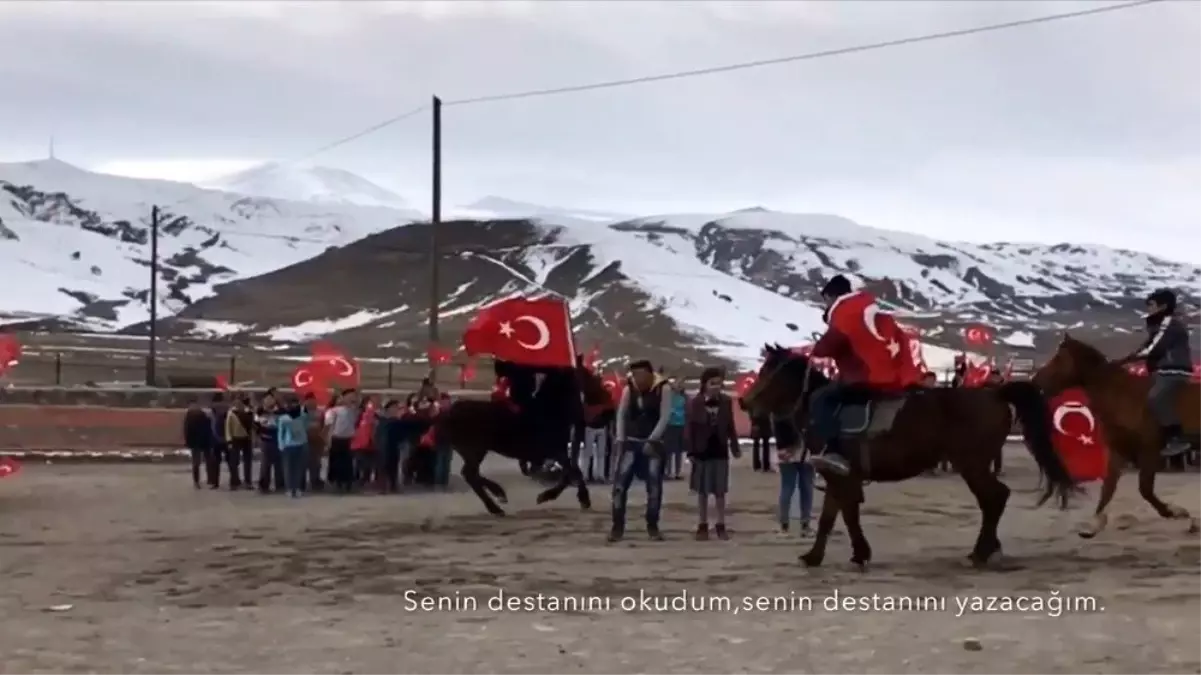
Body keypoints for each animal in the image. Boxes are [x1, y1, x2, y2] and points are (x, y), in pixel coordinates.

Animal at [427, 362, 610, 514]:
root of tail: (449, 412)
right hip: (475, 450)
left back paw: (498, 494)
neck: (549, 411)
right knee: (470, 474)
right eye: (588, 375)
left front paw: (555, 496)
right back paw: (496, 507)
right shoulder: (555, 451)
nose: (606, 396)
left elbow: (571, 472)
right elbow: (573, 472)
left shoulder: (558, 452)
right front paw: (578, 499)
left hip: (472, 451)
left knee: (472, 474)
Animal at [735, 345, 1076, 566]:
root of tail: (994, 393)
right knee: (994, 499)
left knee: (994, 498)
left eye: (771, 371)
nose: (743, 402)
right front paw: (821, 555)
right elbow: (833, 516)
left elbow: (843, 515)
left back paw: (982, 551)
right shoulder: (840, 477)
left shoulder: (840, 475)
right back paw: (988, 548)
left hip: (972, 464)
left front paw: (854, 553)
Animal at [1032, 331, 1201, 535]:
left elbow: (1145, 489)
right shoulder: (1119, 451)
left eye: (1058, 357)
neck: (1123, 396)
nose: (1035, 380)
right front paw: (1094, 525)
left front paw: (1177, 513)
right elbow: (1108, 488)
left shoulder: (1149, 451)